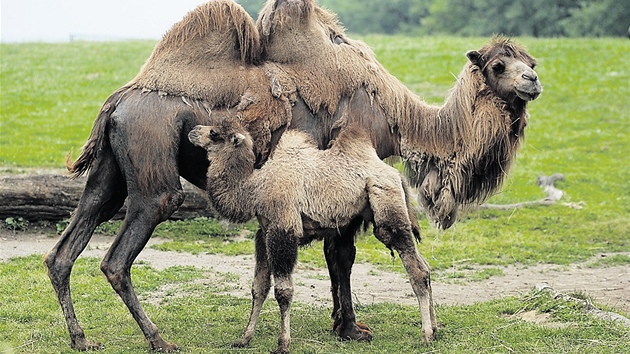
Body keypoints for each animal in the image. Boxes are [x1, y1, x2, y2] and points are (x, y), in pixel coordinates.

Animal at [188, 117, 436, 352]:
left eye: (214, 133)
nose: (193, 130)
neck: (254, 188)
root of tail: (396, 175)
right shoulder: (264, 233)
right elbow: (259, 288)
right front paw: (244, 338)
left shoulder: (283, 228)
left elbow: (283, 290)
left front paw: (283, 343)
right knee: (425, 266)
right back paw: (435, 329)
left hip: (386, 205)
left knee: (416, 269)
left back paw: (425, 335)